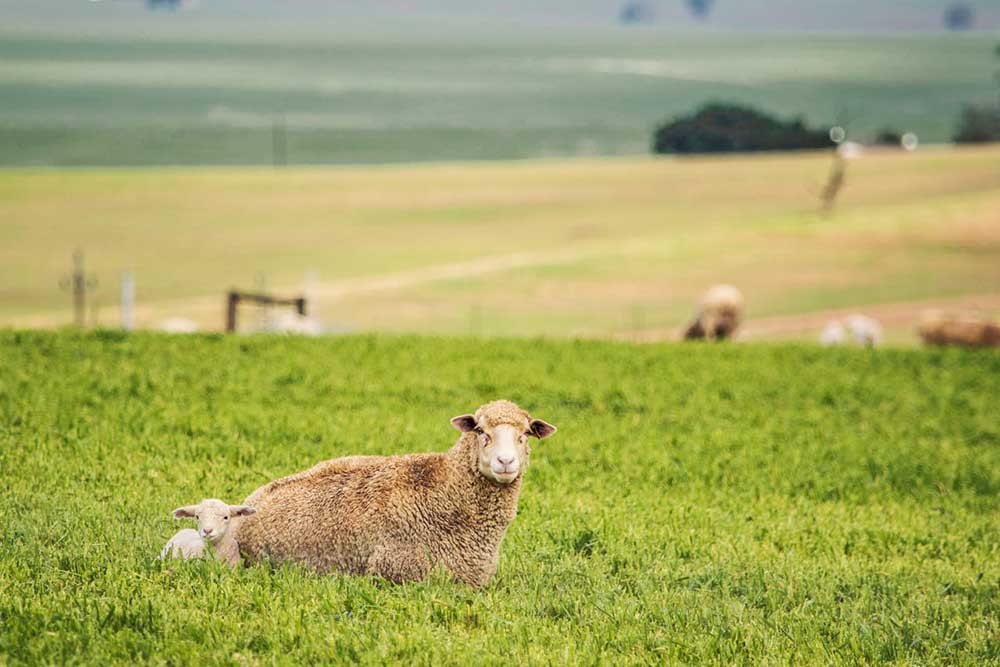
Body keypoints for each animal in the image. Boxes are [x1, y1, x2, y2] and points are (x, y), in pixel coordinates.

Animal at [233, 400, 557, 587]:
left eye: (525, 433)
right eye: (479, 430)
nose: (506, 462)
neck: (445, 491)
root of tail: (253, 499)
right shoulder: (398, 572)